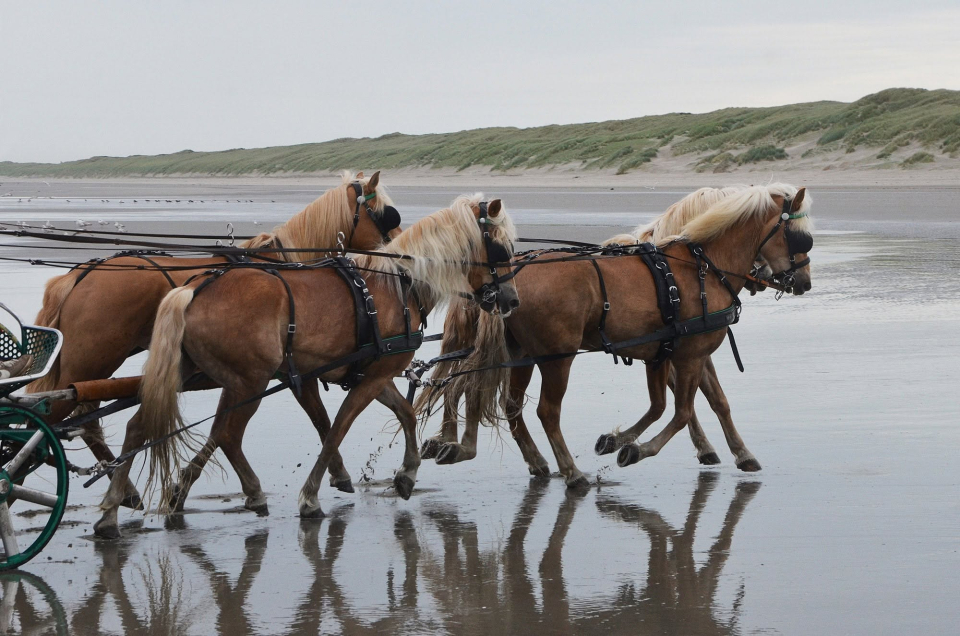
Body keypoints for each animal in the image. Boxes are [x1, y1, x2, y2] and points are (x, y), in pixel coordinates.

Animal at [29, 171, 398, 520]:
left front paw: (182, 488)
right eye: (385, 215)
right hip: (90, 361)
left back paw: (124, 491)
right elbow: (320, 420)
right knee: (60, 417)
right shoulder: (288, 372)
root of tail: (77, 275)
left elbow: (218, 430)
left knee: (85, 419)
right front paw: (337, 474)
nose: (398, 252)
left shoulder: (240, 379)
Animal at [111, 194, 518, 531]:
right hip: (251, 381)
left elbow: (403, 413)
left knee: (140, 426)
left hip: (199, 375)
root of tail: (195, 288)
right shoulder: (371, 377)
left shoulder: (374, 373)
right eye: (501, 249)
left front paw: (407, 474)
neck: (399, 286)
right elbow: (336, 428)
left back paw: (112, 506)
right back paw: (251, 493)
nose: (512, 299)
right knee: (227, 435)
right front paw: (311, 496)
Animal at [423, 184, 811, 487]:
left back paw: (516, 457)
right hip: (556, 358)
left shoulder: (660, 354)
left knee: (497, 400)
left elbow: (668, 406)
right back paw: (571, 471)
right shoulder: (691, 354)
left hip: (521, 356)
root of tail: (512, 273)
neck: (700, 268)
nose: (804, 282)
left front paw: (618, 440)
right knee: (543, 410)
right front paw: (639, 449)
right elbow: (685, 410)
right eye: (801, 237)